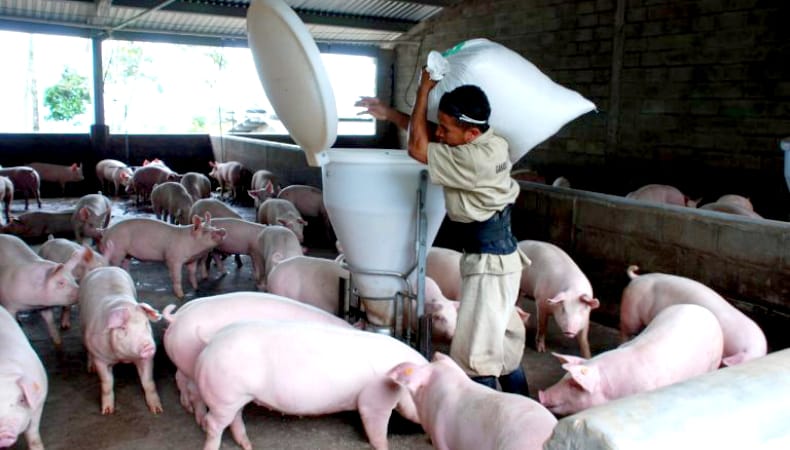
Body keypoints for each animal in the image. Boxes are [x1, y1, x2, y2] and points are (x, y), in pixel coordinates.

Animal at [79, 267, 162, 415]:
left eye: (146, 323)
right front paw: (107, 411)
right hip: (83, 324)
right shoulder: (101, 358)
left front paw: (157, 410)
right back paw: (91, 369)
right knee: (87, 349)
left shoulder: (146, 359)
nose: (148, 346)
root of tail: (105, 268)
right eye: (123, 328)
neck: (123, 358)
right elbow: (106, 384)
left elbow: (149, 383)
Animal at [194, 320, 425, 450]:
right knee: (212, 423)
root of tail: (212, 339)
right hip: (225, 396)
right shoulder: (374, 398)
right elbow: (377, 429)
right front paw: (383, 447)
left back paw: (249, 446)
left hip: (236, 396)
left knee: (235, 418)